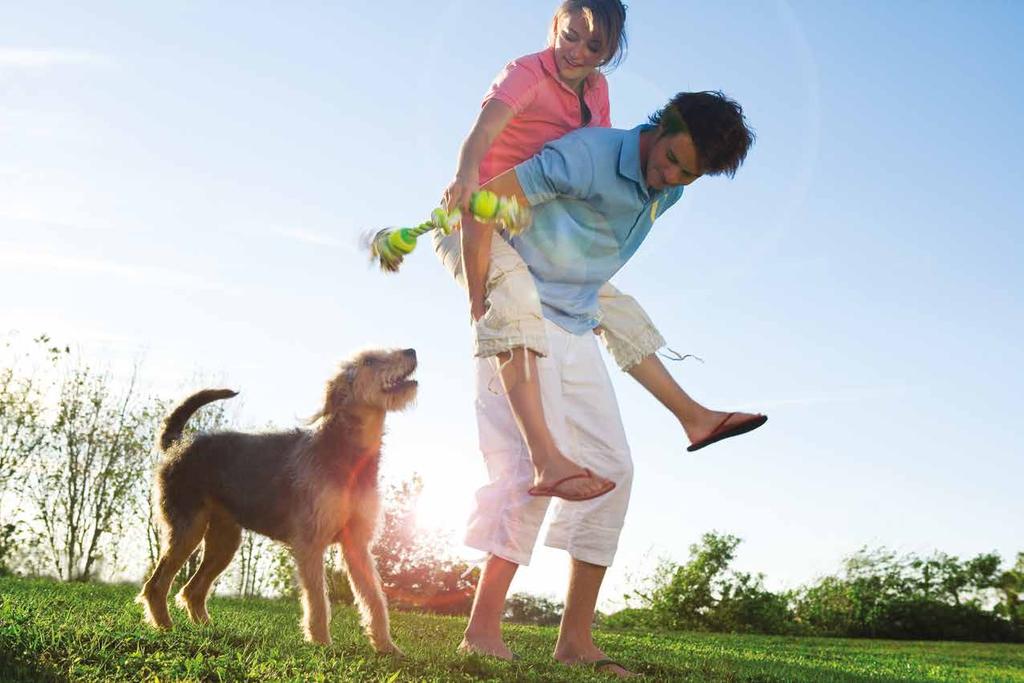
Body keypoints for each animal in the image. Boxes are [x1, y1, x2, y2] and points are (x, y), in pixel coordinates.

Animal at [138, 348, 417, 651]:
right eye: (369, 361)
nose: (412, 351)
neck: (347, 451)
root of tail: (178, 443)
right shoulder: (310, 543)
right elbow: (317, 601)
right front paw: (321, 644)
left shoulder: (357, 544)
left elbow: (375, 599)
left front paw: (387, 647)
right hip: (188, 531)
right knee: (156, 586)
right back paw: (166, 628)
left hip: (224, 542)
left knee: (192, 591)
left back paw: (206, 629)